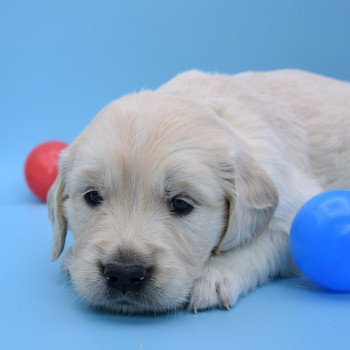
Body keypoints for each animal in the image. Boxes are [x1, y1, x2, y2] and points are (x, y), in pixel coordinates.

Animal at [47, 69, 350, 314]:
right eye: (92, 197)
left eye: (181, 204)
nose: (123, 273)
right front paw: (73, 256)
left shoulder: (294, 209)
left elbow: (260, 241)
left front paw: (214, 275)